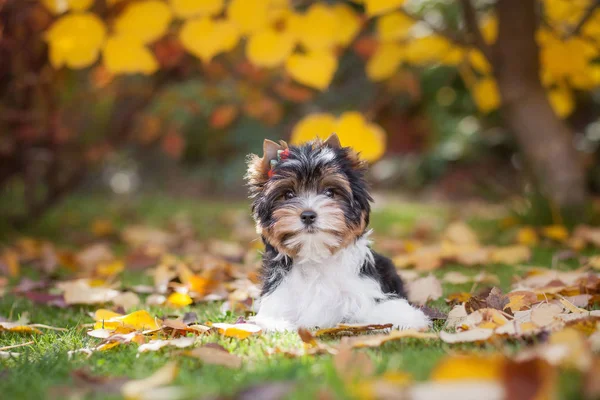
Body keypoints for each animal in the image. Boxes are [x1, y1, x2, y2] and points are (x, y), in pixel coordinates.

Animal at [245, 134, 432, 332]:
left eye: (330, 192)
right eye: (288, 195)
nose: (308, 215)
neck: (315, 256)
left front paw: (407, 318)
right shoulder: (281, 295)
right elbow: (271, 316)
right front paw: (277, 324)